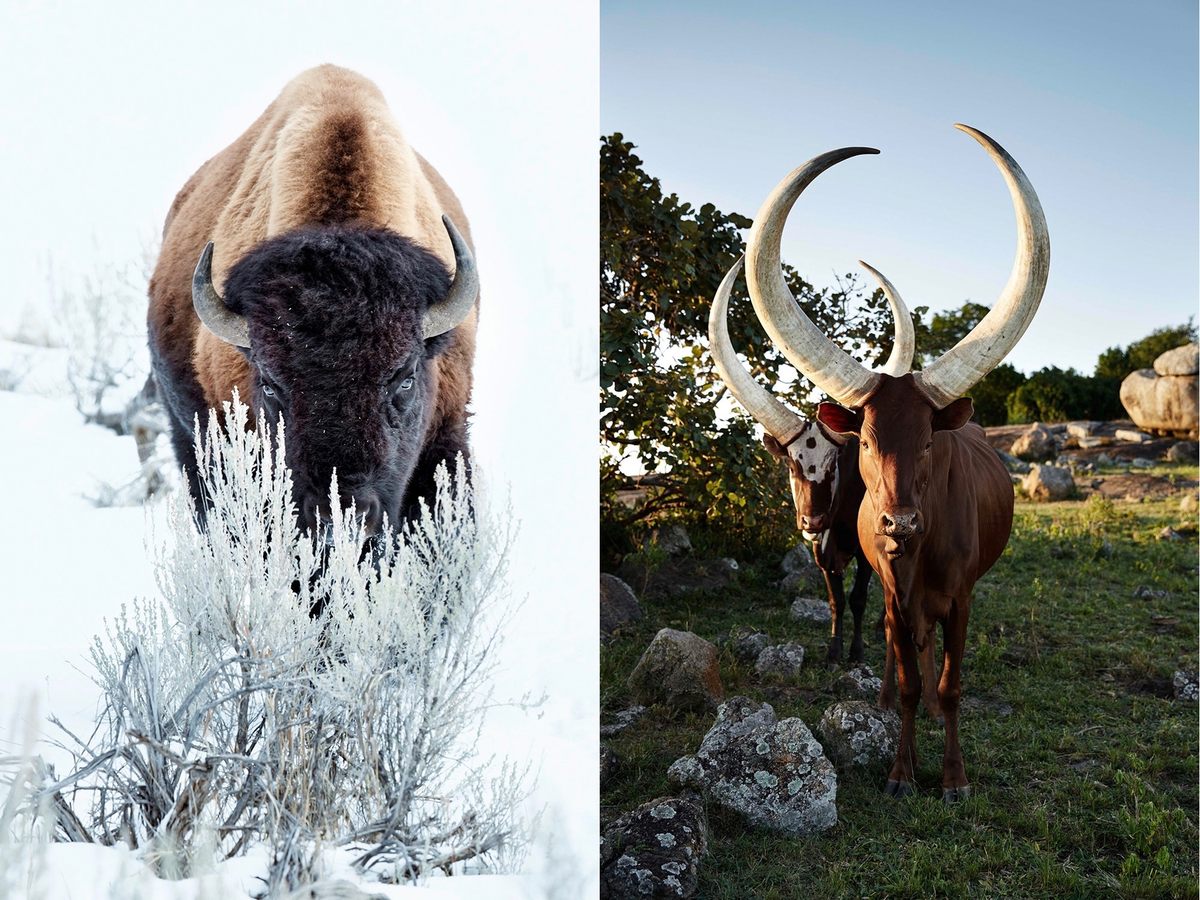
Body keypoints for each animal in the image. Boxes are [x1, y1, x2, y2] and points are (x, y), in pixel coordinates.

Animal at [744, 125, 1046, 801]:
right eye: (864, 442)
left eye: (930, 441)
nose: (900, 525)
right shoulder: (890, 591)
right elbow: (907, 674)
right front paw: (902, 771)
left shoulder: (961, 598)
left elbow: (952, 685)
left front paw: (954, 778)